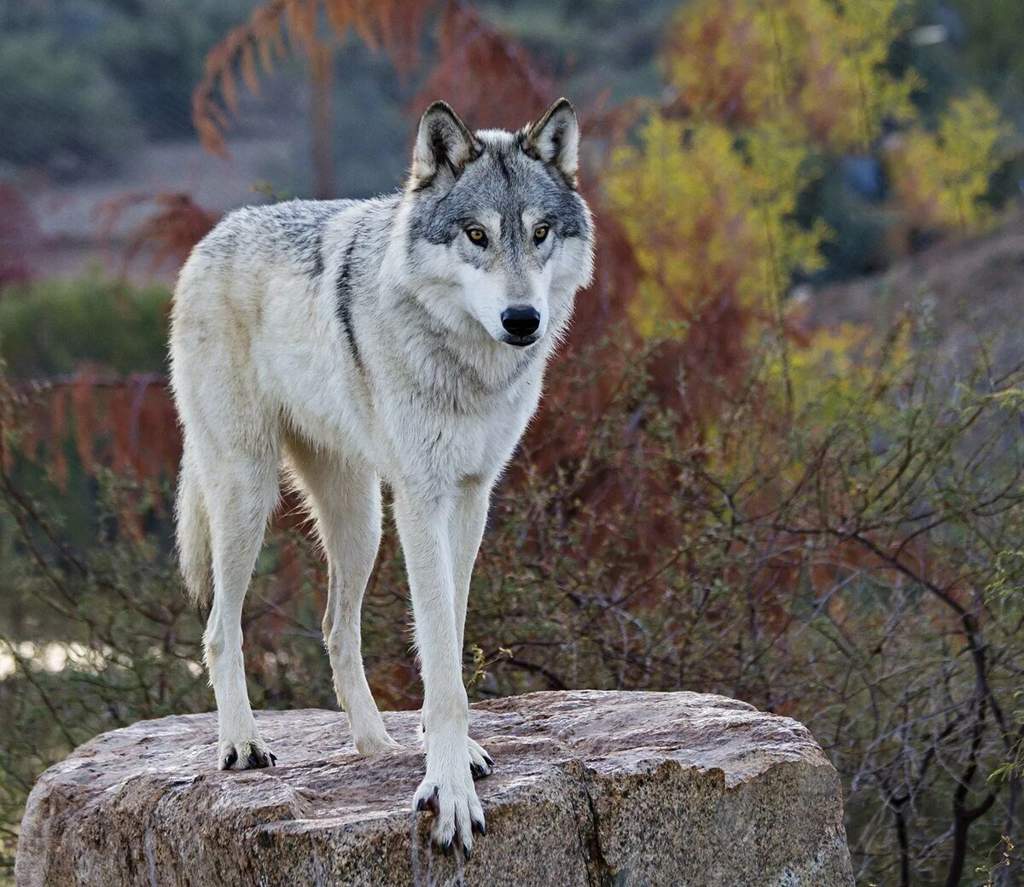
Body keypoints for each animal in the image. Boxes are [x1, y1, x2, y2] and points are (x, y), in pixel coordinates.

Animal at [171, 96, 598, 852]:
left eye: (540, 232)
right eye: (477, 235)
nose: (522, 319)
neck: (464, 364)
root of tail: (212, 236)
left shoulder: (471, 496)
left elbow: (448, 633)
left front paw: (449, 753)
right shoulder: (422, 501)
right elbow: (442, 659)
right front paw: (449, 791)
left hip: (361, 521)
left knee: (336, 629)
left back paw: (376, 747)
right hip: (249, 496)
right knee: (222, 627)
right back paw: (242, 745)